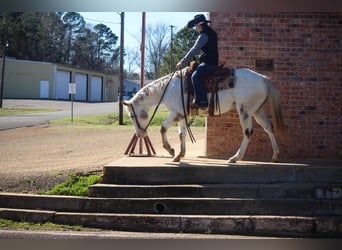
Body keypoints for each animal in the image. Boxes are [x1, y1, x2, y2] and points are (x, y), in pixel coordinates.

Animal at [122, 66, 286, 163]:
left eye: (131, 116)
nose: (140, 135)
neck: (169, 87)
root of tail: (263, 79)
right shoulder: (181, 114)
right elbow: (182, 134)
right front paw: (179, 155)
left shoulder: (176, 112)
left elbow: (163, 128)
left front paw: (170, 150)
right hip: (257, 111)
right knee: (268, 128)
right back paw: (275, 155)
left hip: (244, 111)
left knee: (247, 132)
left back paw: (235, 157)